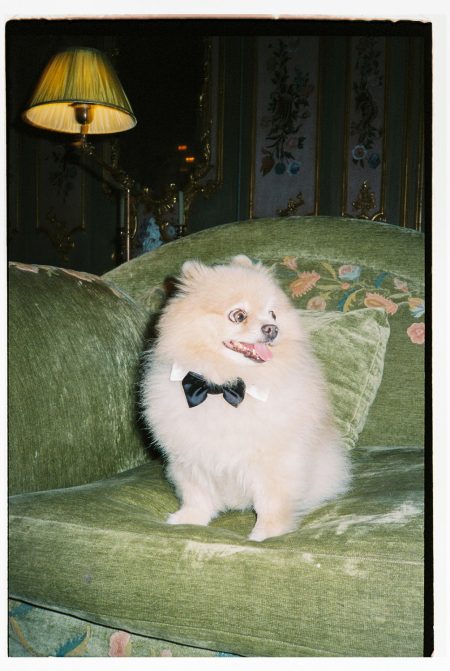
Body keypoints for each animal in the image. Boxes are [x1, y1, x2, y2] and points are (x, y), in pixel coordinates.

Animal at [141, 255, 350, 541]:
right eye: (238, 315)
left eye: (272, 314)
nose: (273, 328)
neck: (223, 387)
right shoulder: (191, 457)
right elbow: (197, 493)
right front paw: (190, 519)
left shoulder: (275, 461)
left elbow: (271, 501)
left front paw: (267, 533)